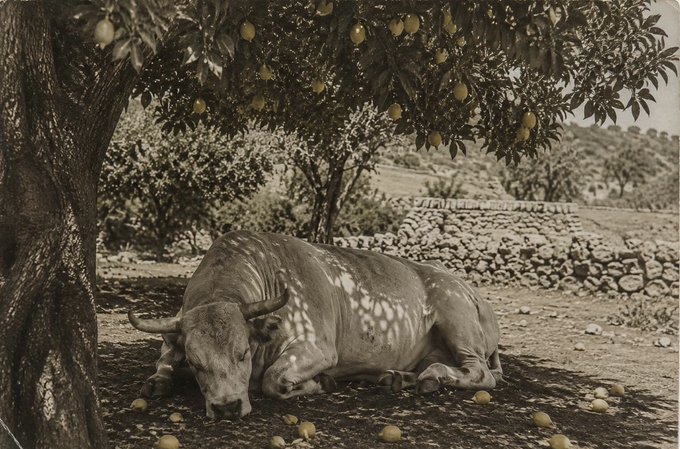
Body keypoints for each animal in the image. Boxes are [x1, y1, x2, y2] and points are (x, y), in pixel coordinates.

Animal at [128, 230, 502, 420]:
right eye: (195, 362)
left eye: (242, 352)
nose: (227, 408)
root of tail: (467, 286)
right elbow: (164, 358)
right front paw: (157, 381)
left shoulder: (317, 346)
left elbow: (272, 379)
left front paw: (322, 382)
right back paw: (398, 377)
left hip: (456, 320)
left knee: (480, 373)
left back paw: (432, 377)